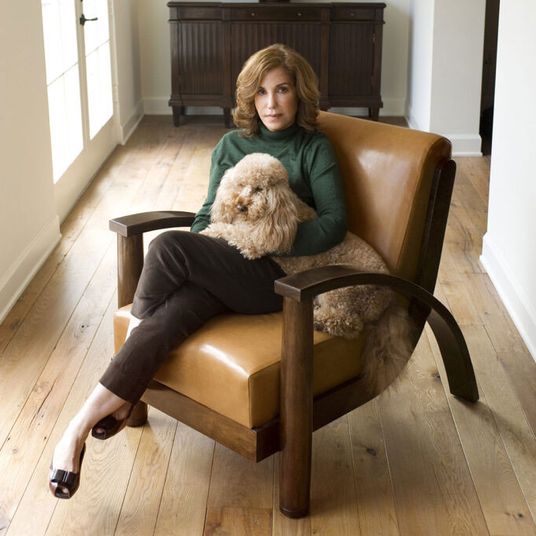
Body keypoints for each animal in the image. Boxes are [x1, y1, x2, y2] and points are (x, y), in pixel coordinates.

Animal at [201, 153, 415, 391]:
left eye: (258, 189)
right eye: (240, 184)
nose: (240, 205)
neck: (278, 211)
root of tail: (390, 297)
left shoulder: (254, 242)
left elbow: (231, 231)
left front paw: (210, 230)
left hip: (341, 292)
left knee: (349, 323)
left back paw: (317, 319)